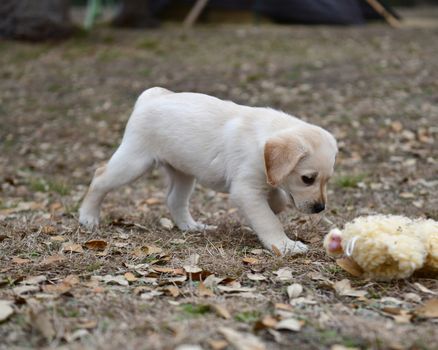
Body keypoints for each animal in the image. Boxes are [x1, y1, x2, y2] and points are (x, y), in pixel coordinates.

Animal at [79, 87, 338, 254]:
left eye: (327, 181)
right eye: (307, 179)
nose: (320, 208)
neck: (261, 140)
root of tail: (152, 96)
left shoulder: (257, 183)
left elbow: (277, 196)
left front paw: (276, 204)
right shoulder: (245, 190)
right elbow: (268, 221)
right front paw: (285, 245)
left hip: (183, 173)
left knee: (174, 200)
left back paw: (192, 227)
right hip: (134, 161)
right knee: (100, 177)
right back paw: (88, 217)